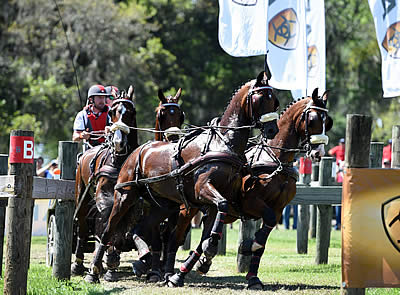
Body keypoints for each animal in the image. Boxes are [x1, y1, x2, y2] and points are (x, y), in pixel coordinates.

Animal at [86, 71, 282, 284]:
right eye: (260, 98)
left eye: (274, 100)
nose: (272, 130)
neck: (223, 144)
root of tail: (135, 151)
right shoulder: (203, 189)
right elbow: (217, 212)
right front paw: (209, 250)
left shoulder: (217, 200)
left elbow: (210, 226)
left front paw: (183, 271)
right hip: (125, 195)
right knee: (109, 229)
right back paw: (94, 271)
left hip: (162, 205)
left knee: (141, 228)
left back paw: (144, 260)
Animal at [176, 87, 334, 290]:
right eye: (313, 120)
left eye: (327, 122)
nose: (318, 153)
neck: (276, 160)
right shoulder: (251, 202)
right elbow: (264, 226)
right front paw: (247, 247)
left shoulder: (278, 208)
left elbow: (264, 239)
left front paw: (252, 276)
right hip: (189, 208)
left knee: (205, 236)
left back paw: (194, 266)